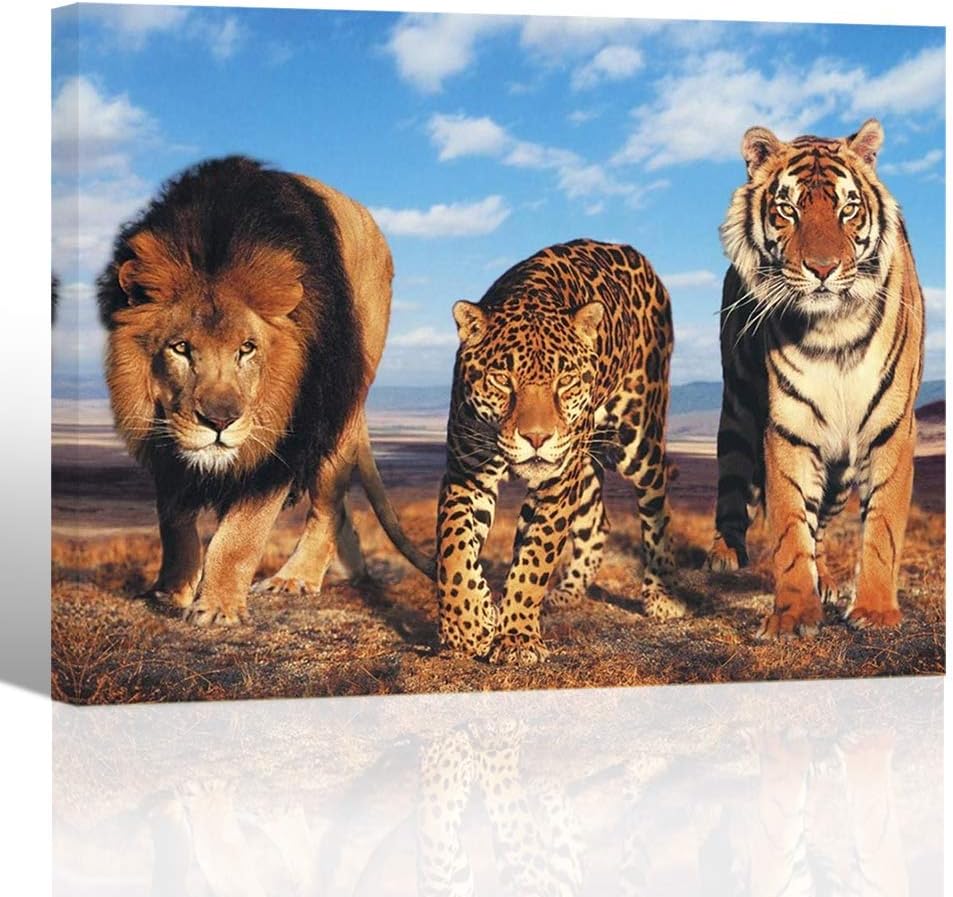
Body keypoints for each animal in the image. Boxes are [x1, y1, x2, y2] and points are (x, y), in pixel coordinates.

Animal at [97, 156, 433, 626]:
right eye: (181, 348)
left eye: (247, 348)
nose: (219, 421)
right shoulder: (165, 438)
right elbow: (174, 524)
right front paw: (171, 591)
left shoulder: (285, 436)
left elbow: (240, 535)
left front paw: (218, 607)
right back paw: (351, 569)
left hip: (345, 401)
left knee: (327, 505)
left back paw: (296, 577)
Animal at [437, 238, 686, 665]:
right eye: (502, 380)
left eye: (565, 380)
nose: (537, 438)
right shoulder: (466, 475)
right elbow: (453, 549)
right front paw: (468, 625)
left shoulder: (555, 486)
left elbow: (535, 558)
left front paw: (516, 638)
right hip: (583, 464)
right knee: (597, 522)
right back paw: (566, 593)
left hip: (639, 438)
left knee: (656, 508)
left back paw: (661, 594)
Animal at [707, 118, 925, 639]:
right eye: (788, 209)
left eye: (848, 209)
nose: (823, 269)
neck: (834, 330)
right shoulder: (788, 428)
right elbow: (789, 525)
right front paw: (793, 616)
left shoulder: (892, 428)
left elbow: (883, 525)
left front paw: (875, 611)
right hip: (738, 409)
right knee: (734, 481)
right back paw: (724, 554)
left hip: (841, 469)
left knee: (822, 522)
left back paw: (824, 578)